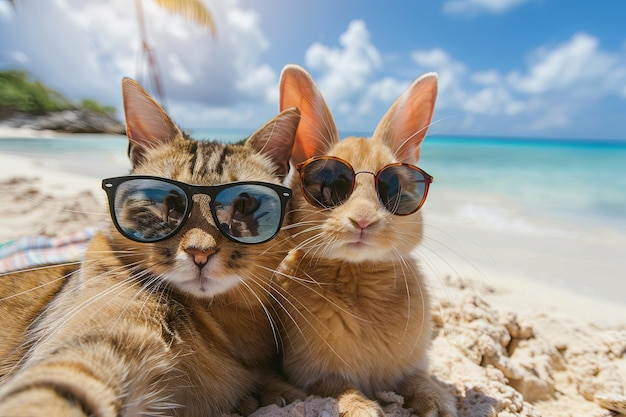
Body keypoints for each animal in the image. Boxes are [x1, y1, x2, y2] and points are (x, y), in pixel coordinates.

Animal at [270, 63, 456, 414]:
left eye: (395, 188)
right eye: (328, 186)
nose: (363, 220)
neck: (357, 274)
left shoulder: (409, 367)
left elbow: (417, 380)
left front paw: (438, 404)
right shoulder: (315, 376)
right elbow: (340, 387)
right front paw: (363, 409)